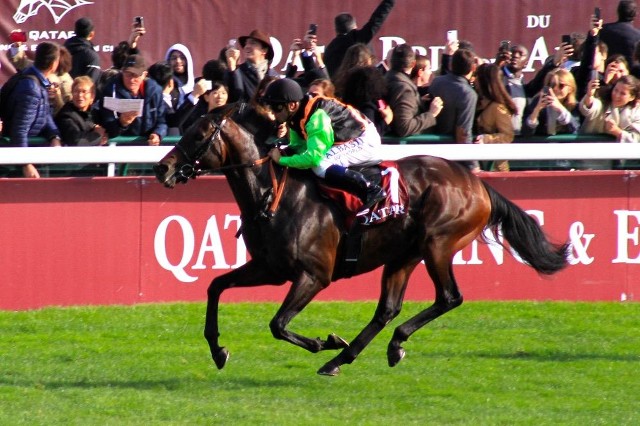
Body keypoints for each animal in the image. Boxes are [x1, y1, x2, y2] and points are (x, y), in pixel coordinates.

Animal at [155, 104, 568, 376]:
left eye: (197, 134)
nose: (162, 168)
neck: (273, 196)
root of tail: (478, 183)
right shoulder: (269, 268)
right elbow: (215, 286)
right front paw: (218, 350)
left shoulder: (313, 275)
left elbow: (278, 324)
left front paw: (323, 341)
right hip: (403, 255)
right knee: (387, 309)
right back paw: (350, 357)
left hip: (437, 244)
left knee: (449, 297)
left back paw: (364, 349)